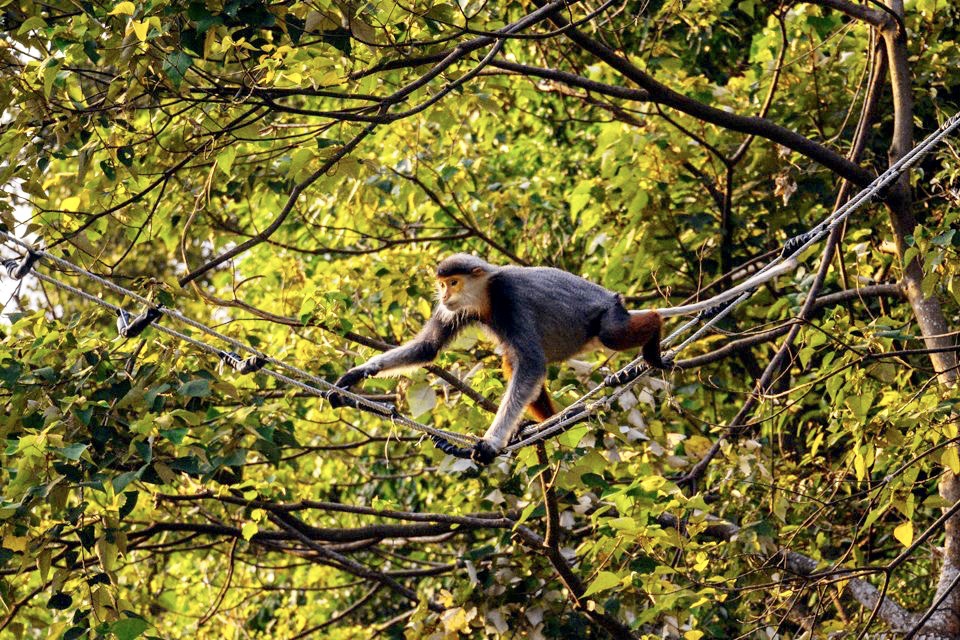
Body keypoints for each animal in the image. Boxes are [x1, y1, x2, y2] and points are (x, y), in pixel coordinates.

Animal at [330, 254, 796, 464]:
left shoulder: (509, 301)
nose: (443, 295)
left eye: (453, 282)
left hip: (607, 318)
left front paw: (491, 442)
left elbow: (533, 364)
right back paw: (542, 426)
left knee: (608, 334)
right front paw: (356, 374)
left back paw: (654, 335)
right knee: (512, 363)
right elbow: (429, 348)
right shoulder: (462, 312)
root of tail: (614, 300)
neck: (486, 298)